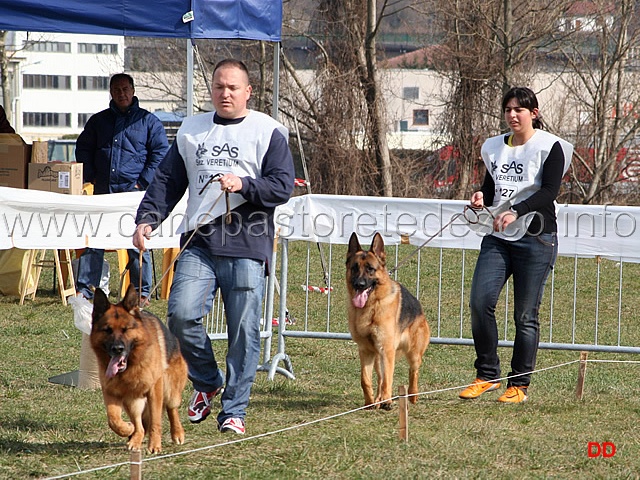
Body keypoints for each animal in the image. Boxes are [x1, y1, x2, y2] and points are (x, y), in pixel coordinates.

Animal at [91, 284, 189, 454]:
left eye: (126, 329)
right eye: (107, 330)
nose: (117, 349)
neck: (130, 366)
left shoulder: (154, 390)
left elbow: (156, 421)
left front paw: (155, 445)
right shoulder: (111, 392)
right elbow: (113, 420)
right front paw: (127, 429)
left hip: (170, 390)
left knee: (172, 409)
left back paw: (177, 433)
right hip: (132, 401)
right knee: (140, 425)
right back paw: (135, 438)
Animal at [344, 232, 430, 408]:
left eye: (370, 269)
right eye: (354, 268)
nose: (359, 284)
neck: (371, 306)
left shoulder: (387, 350)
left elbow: (388, 379)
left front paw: (387, 400)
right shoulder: (365, 350)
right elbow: (365, 380)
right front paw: (370, 402)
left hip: (413, 353)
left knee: (413, 371)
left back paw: (412, 395)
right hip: (378, 356)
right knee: (379, 377)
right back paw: (378, 399)